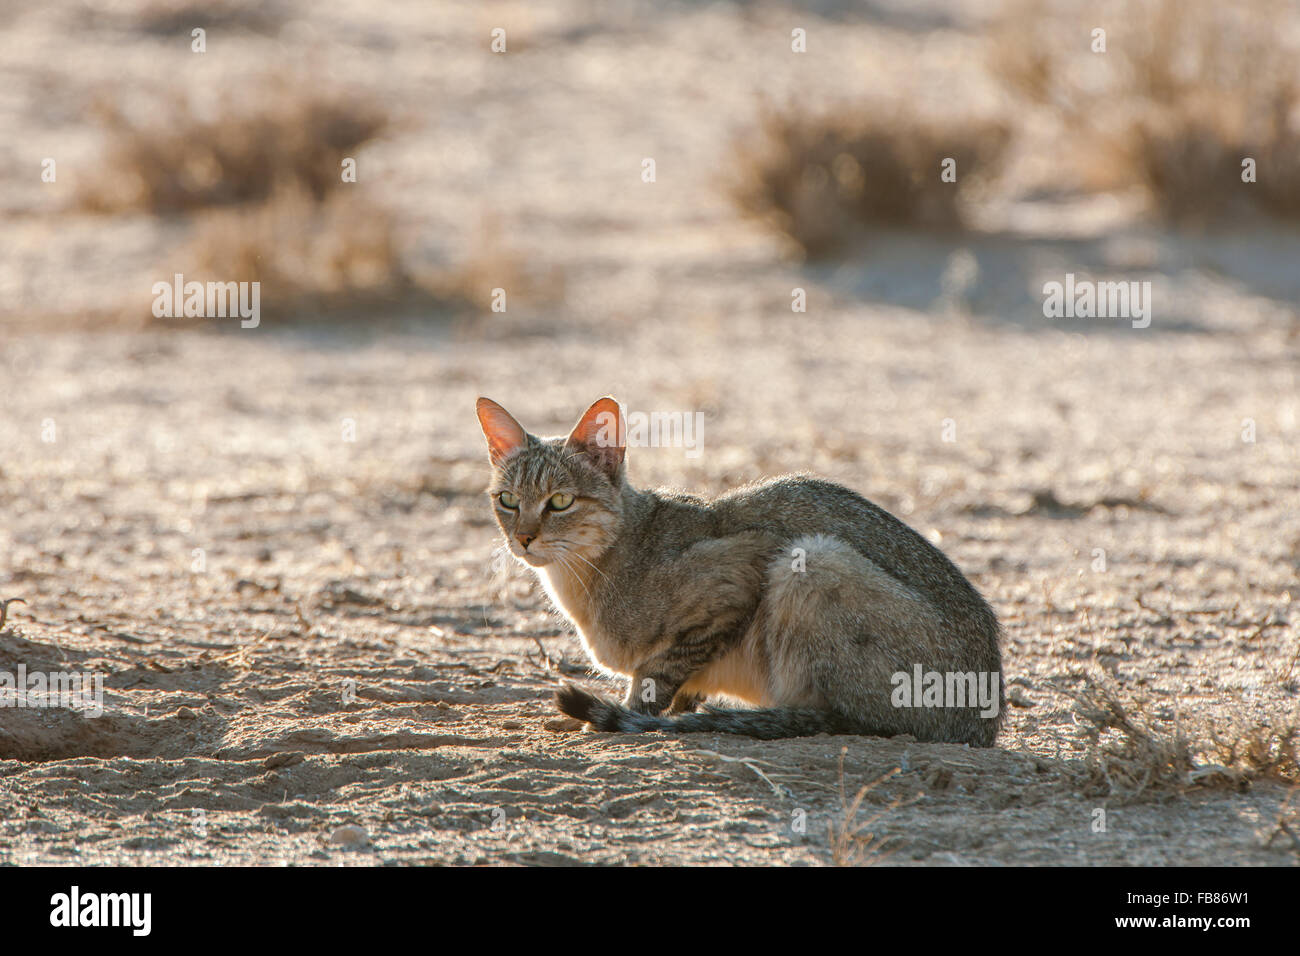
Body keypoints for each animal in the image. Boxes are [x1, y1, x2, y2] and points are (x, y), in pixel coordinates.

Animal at [478, 395, 1003, 749]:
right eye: (507, 500)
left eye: (560, 501)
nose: (523, 538)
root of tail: (983, 721)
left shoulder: (742, 569)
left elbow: (655, 678)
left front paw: (627, 716)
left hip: (815, 560)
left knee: (846, 720)